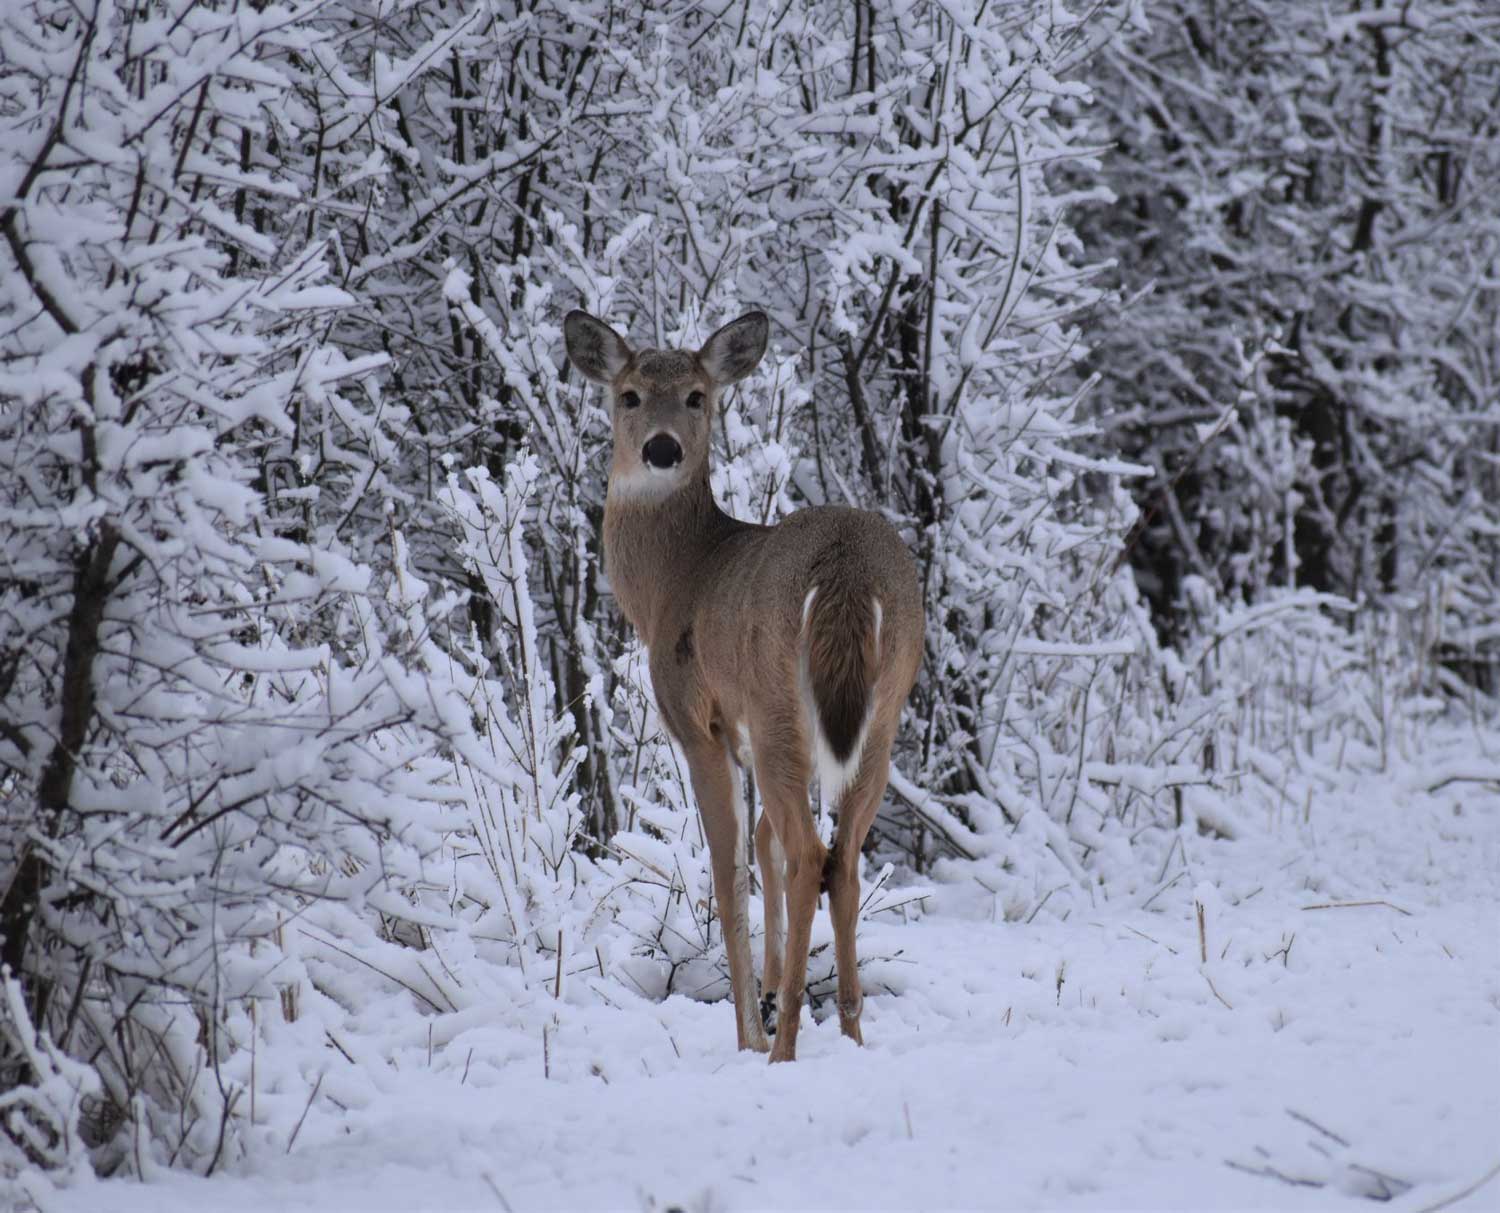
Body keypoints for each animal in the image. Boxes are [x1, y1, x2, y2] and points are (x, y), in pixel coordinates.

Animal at [567, 305, 924, 1061]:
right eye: (630, 395)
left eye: (697, 396)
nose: (663, 449)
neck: (677, 581)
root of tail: (847, 573)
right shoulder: (754, 735)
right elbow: (761, 843)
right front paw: (763, 994)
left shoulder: (701, 719)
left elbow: (730, 869)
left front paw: (748, 1036)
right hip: (881, 714)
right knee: (841, 858)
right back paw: (849, 1030)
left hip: (776, 699)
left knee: (809, 852)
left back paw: (784, 1044)